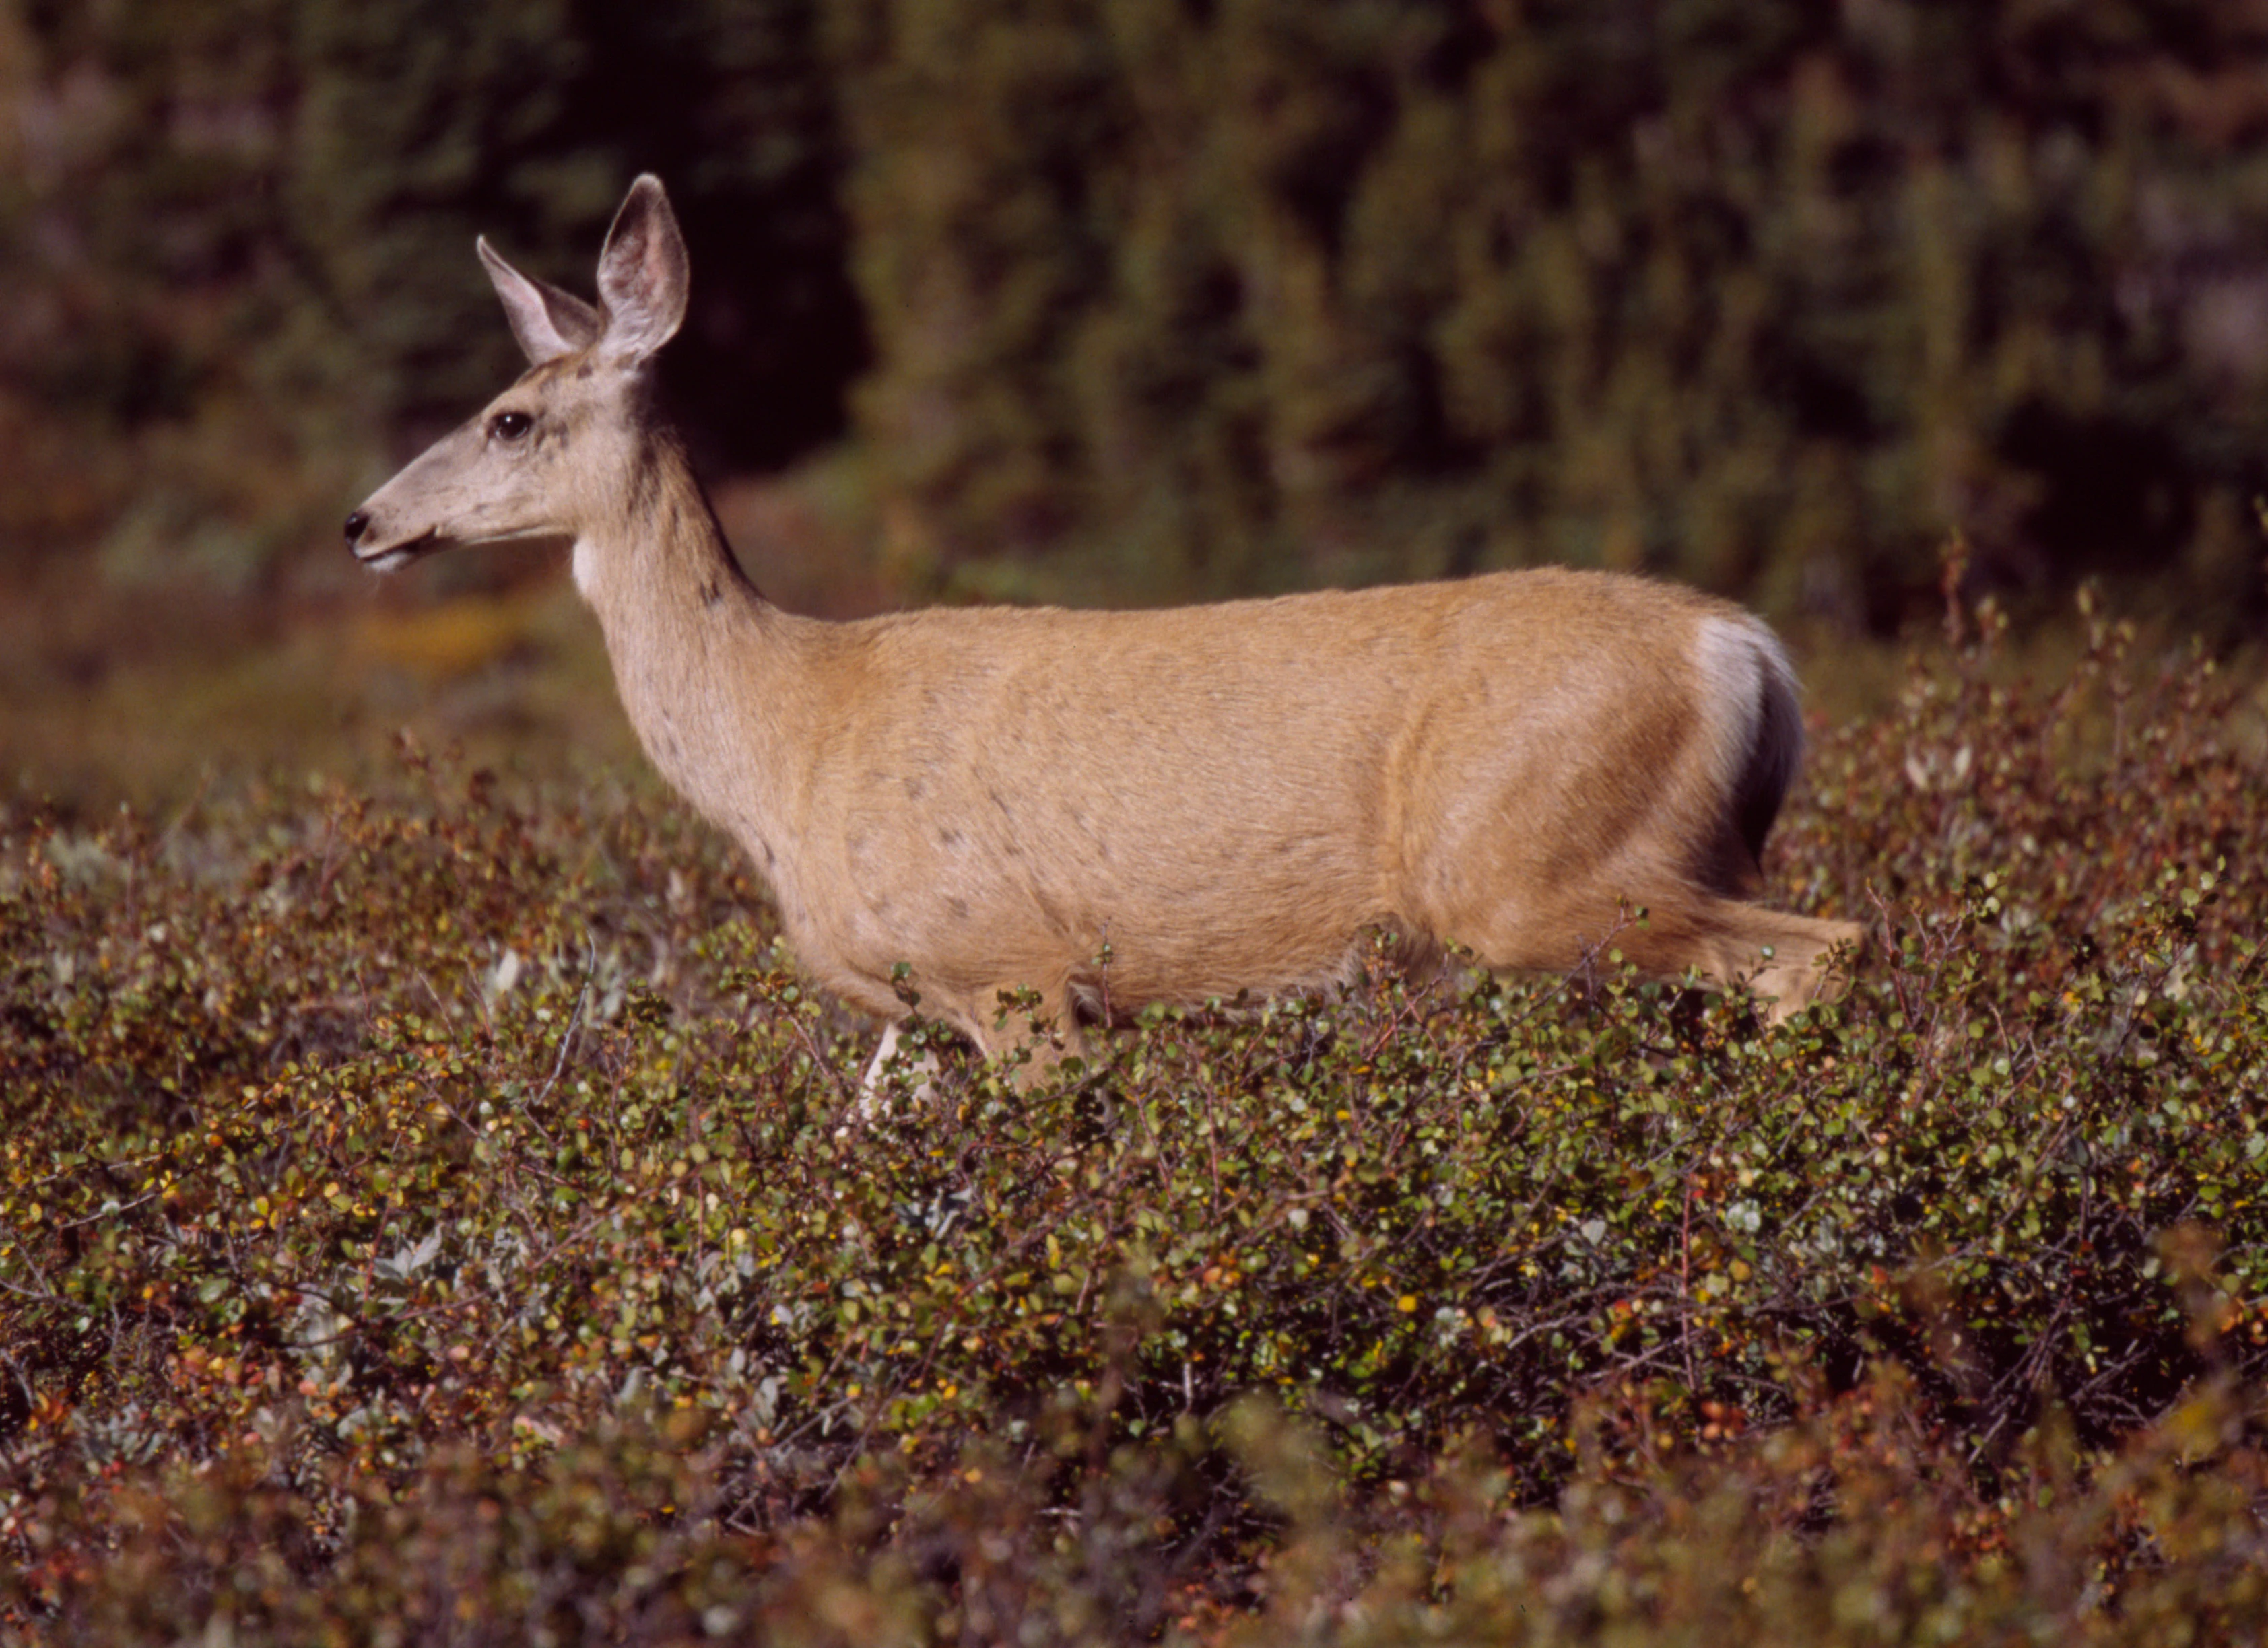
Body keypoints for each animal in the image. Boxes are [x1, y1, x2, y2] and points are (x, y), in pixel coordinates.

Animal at [344, 174, 1862, 1095]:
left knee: (1822, 948)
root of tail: (1745, 649)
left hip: (1537, 865)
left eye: (508, 419)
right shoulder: (919, 1014)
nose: (364, 522)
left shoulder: (1009, 964)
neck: (786, 735)